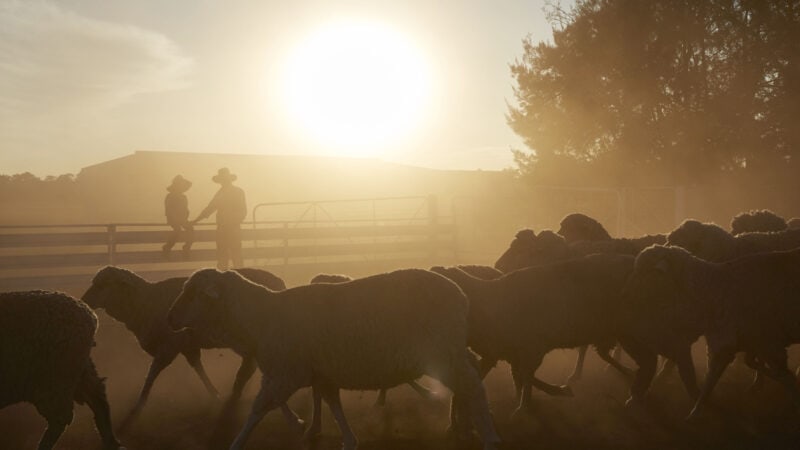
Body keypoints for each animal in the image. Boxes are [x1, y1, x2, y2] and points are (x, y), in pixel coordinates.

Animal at [0, 290, 124, 448]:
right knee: (98, 398)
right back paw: (111, 441)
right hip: (78, 369)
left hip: (55, 377)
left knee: (61, 417)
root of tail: (89, 315)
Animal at [81, 266, 302, 430]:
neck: (145, 302)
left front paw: (138, 406)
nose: (84, 301)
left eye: (103, 284)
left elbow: (152, 374)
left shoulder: (169, 346)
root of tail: (278, 281)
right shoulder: (186, 345)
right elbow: (198, 368)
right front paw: (215, 395)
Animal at [167, 268, 500, 450]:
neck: (259, 317)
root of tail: (460, 295)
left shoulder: (286, 372)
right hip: (452, 350)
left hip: (443, 352)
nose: (170, 317)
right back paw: (464, 425)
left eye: (193, 292)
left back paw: (488, 436)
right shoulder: (319, 371)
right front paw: (345, 438)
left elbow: (257, 409)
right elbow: (331, 402)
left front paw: (236, 443)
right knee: (471, 377)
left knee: (474, 387)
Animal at [432, 255, 636, 416]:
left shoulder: (532, 349)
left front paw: (525, 406)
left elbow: (526, 376)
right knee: (605, 353)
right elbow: (520, 376)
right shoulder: (500, 353)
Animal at [624, 246, 800, 418]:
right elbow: (712, 380)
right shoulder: (725, 345)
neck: (712, 293)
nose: (627, 291)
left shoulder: (770, 344)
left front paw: (794, 398)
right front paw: (694, 414)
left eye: (646, 273)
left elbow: (783, 376)